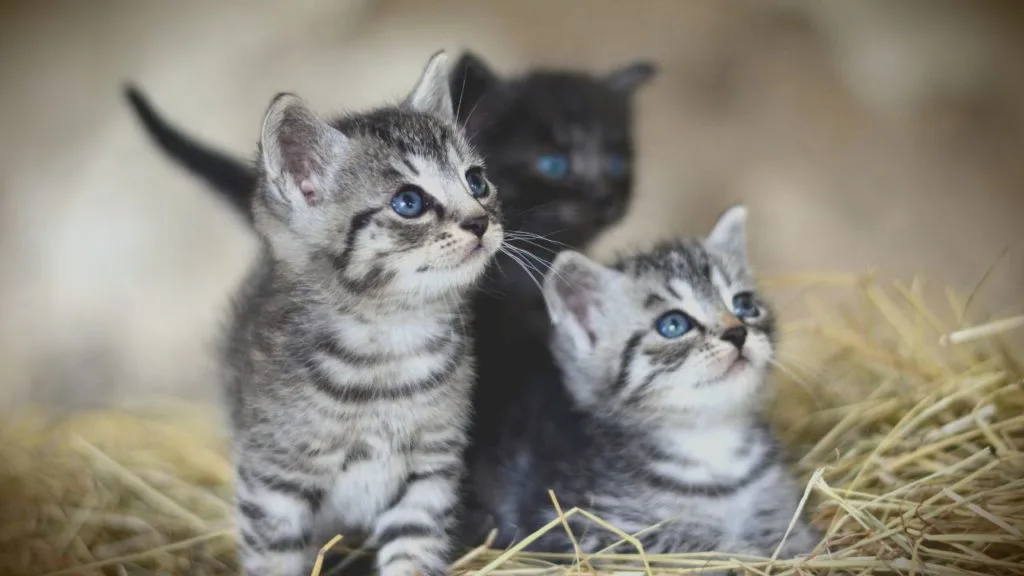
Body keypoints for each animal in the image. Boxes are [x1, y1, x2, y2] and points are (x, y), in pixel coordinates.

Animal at [222, 52, 501, 573]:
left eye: (476, 181)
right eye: (408, 202)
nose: (480, 221)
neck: (388, 345)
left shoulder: (430, 470)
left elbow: (413, 550)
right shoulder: (273, 479)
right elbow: (274, 558)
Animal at [460, 204, 819, 561]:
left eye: (745, 305)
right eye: (673, 325)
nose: (738, 333)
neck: (711, 443)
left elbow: (788, 529)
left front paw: (791, 542)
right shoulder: (578, 528)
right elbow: (688, 544)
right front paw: (742, 551)